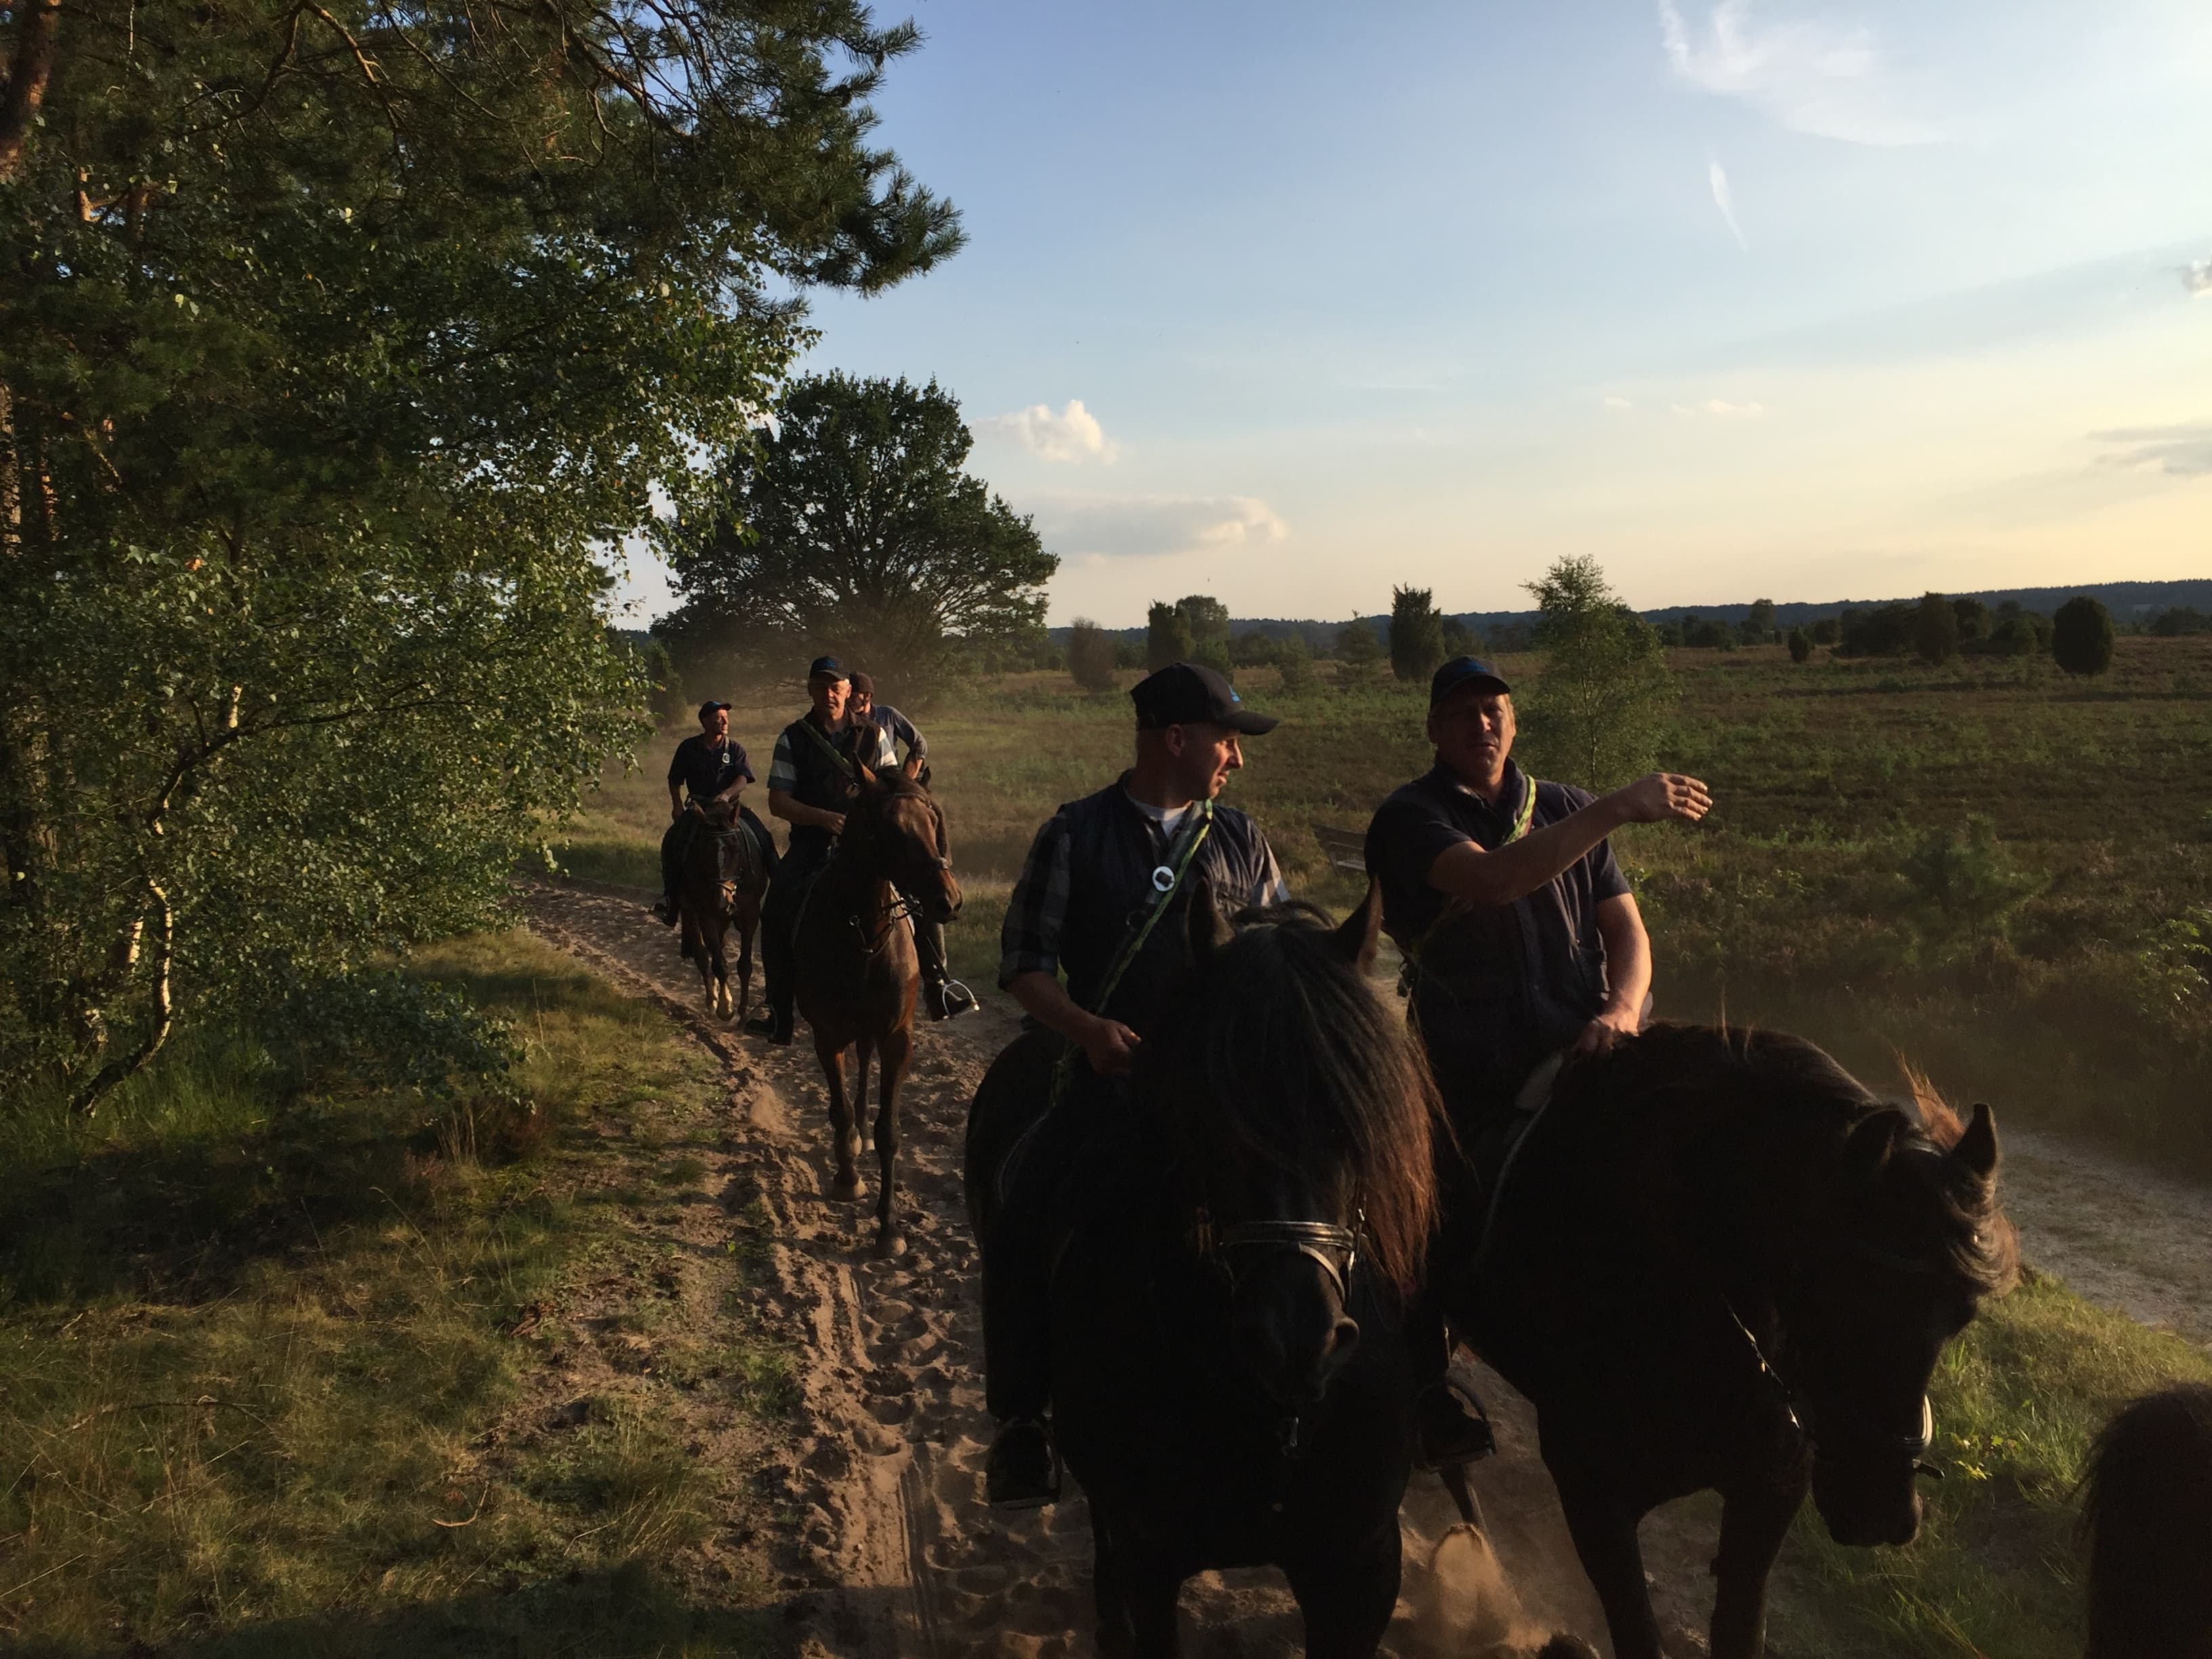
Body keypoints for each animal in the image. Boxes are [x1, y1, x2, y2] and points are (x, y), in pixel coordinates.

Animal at [672, 800, 769, 1026]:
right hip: (691, 911)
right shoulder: (707, 915)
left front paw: (743, 1011)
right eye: (705, 851)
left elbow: (745, 965)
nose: (722, 902)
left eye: (736, 849)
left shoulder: (750, 915)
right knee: (702, 954)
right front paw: (726, 1007)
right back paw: (712, 1000)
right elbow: (718, 962)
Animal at [800, 760, 964, 1256]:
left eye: (932, 821)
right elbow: (838, 1111)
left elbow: (890, 1131)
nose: (949, 901)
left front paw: (889, 1226)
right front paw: (847, 1179)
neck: (863, 934)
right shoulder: (828, 1036)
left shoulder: (896, 1038)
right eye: (890, 829)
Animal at [964, 898, 1460, 1659]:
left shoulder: (1361, 1567)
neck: (1265, 1410)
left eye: (1354, 1114)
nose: (1297, 1343)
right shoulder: (1148, 1562)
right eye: (1209, 1112)